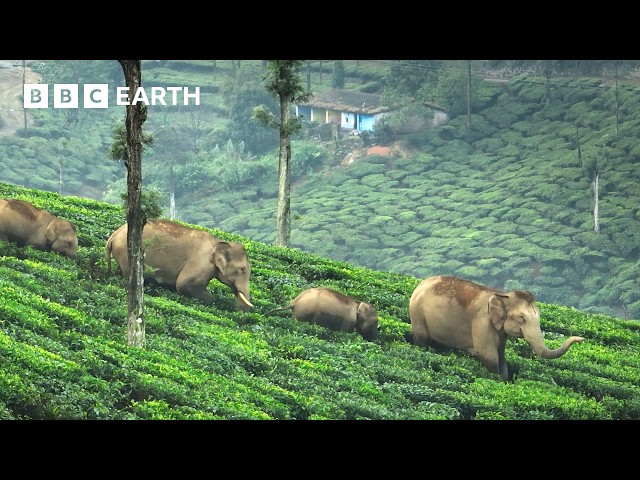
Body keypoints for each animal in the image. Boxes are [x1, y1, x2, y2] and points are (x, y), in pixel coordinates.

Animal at [105, 218, 252, 312]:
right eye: (242, 270)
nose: (239, 313)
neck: (218, 242)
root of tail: (113, 236)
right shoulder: (201, 263)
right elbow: (183, 284)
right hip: (126, 252)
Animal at [410, 276, 584, 380]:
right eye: (522, 318)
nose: (582, 339)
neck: (502, 295)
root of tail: (420, 284)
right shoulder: (482, 323)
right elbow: (489, 355)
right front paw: (497, 380)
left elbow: (501, 355)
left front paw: (505, 380)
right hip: (417, 314)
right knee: (423, 340)